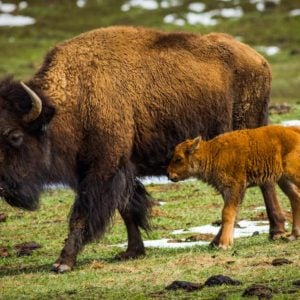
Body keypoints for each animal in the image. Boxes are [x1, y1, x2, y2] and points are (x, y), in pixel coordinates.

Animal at [0, 27, 286, 274]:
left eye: (14, 136)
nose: (4, 188)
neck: (71, 100)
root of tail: (259, 60)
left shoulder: (103, 170)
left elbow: (81, 215)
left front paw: (63, 262)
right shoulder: (116, 170)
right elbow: (127, 209)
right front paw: (132, 251)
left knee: (261, 184)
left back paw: (272, 233)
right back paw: (251, 235)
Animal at [168, 125, 300, 250]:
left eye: (178, 158)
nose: (169, 174)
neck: (213, 153)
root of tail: (294, 130)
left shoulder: (234, 188)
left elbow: (227, 213)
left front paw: (223, 244)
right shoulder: (228, 191)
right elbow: (233, 213)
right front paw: (221, 242)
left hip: (291, 173)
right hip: (283, 179)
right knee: (295, 198)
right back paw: (293, 235)